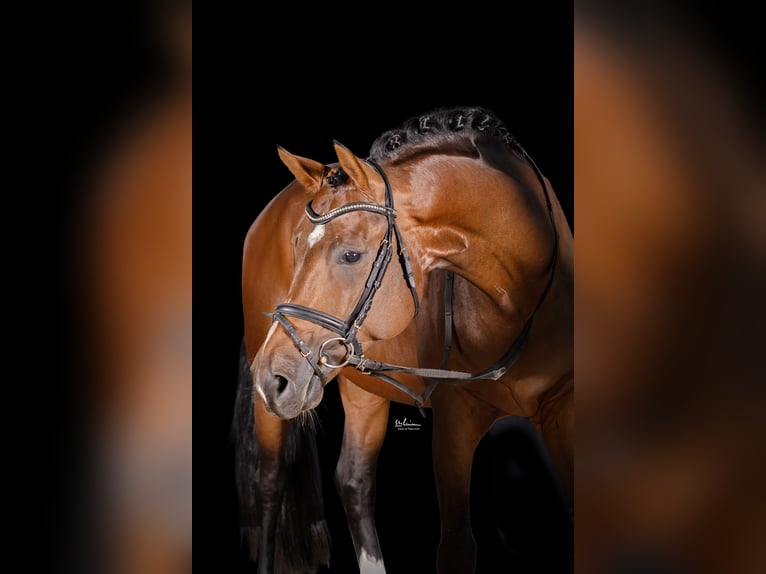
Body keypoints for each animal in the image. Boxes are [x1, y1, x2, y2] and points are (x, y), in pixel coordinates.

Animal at [233, 107, 573, 573]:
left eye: (351, 255)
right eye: (296, 246)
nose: (273, 378)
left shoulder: (562, 410)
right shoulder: (454, 421)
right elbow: (457, 546)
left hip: (362, 386)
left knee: (353, 480)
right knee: (269, 482)